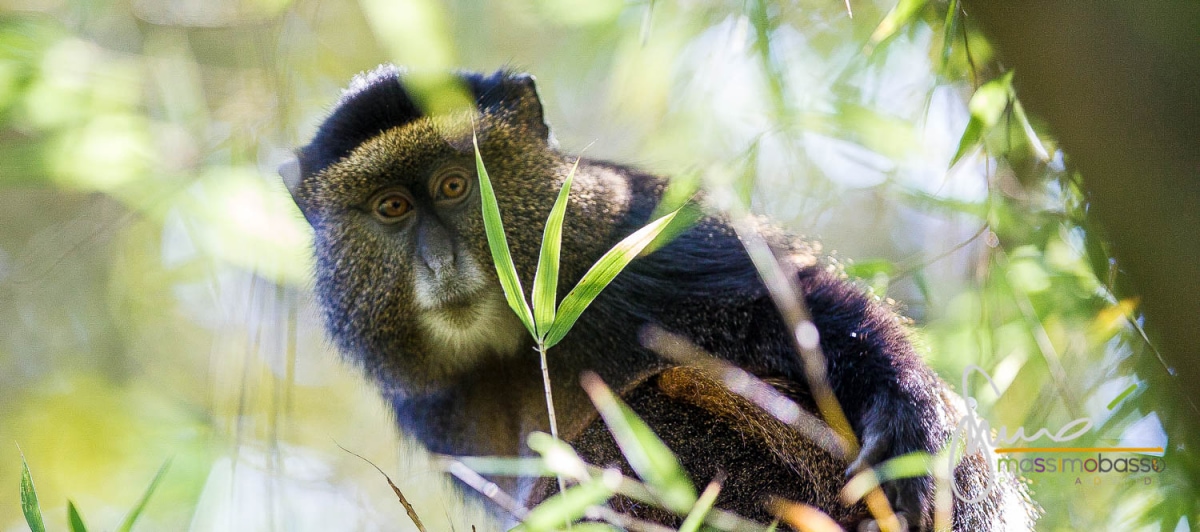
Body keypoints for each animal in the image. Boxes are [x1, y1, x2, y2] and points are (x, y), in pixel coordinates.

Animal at [282, 65, 1038, 530]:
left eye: (454, 187)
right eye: (391, 208)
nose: (439, 261)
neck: (524, 341)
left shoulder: (628, 233)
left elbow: (800, 305)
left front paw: (915, 427)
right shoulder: (438, 408)